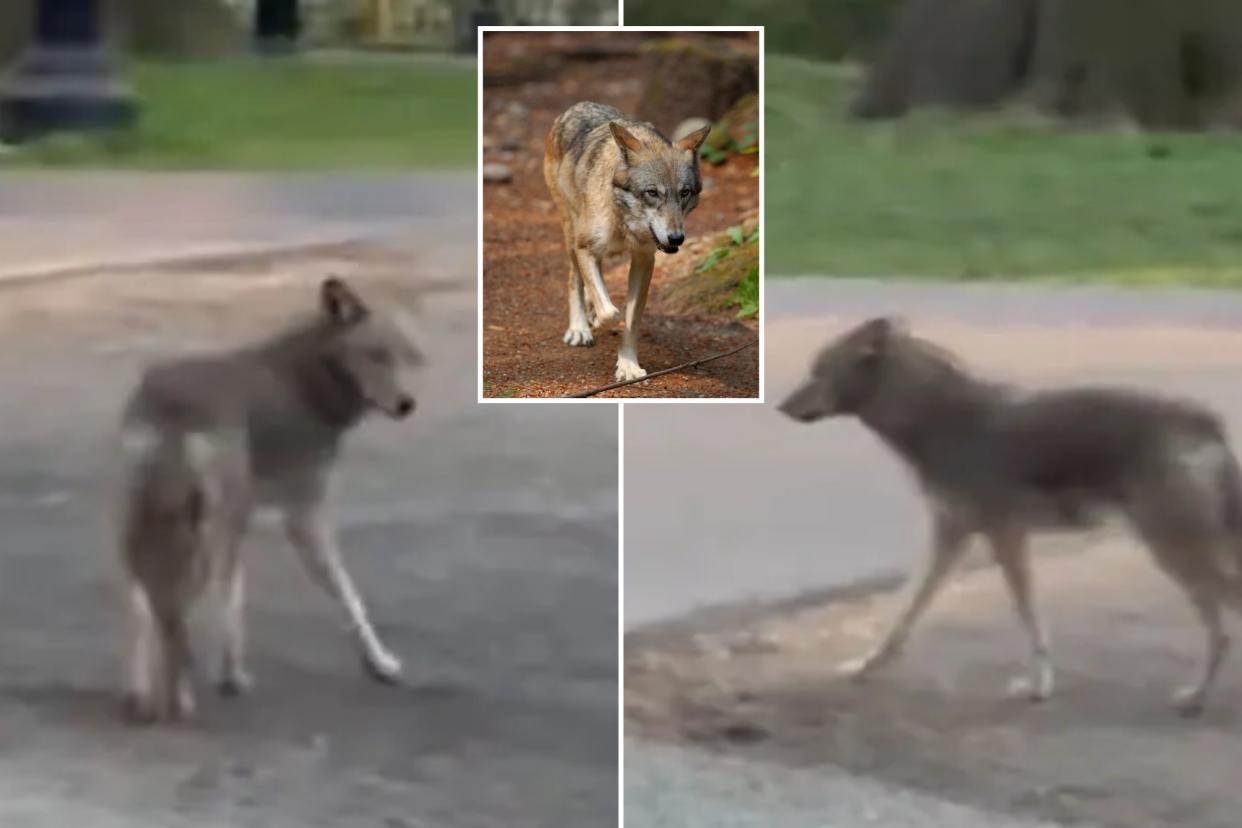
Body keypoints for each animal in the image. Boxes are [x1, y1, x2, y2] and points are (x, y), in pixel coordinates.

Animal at [118, 276, 424, 720]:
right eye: (375, 355)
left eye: (403, 356)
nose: (406, 405)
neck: (310, 380)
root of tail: (168, 405)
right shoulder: (302, 515)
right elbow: (348, 595)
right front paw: (380, 664)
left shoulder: (251, 517)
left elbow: (235, 599)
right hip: (207, 525)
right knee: (177, 607)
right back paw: (186, 696)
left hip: (153, 525)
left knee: (144, 603)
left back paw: (142, 695)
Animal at [543, 100, 710, 382]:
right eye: (652, 193)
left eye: (684, 193)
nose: (676, 237)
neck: (624, 220)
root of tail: (576, 107)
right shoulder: (585, 248)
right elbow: (611, 313)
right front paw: (598, 320)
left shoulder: (644, 260)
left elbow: (631, 321)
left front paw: (628, 366)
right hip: (571, 233)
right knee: (575, 279)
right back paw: (580, 327)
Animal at [779, 317, 1242, 720]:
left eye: (820, 372)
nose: (781, 407)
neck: (937, 420)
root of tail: (1207, 423)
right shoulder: (953, 535)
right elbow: (906, 610)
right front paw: (866, 665)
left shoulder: (1004, 536)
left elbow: (1026, 614)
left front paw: (1038, 686)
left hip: (1173, 551)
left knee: (1223, 628)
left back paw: (1196, 697)